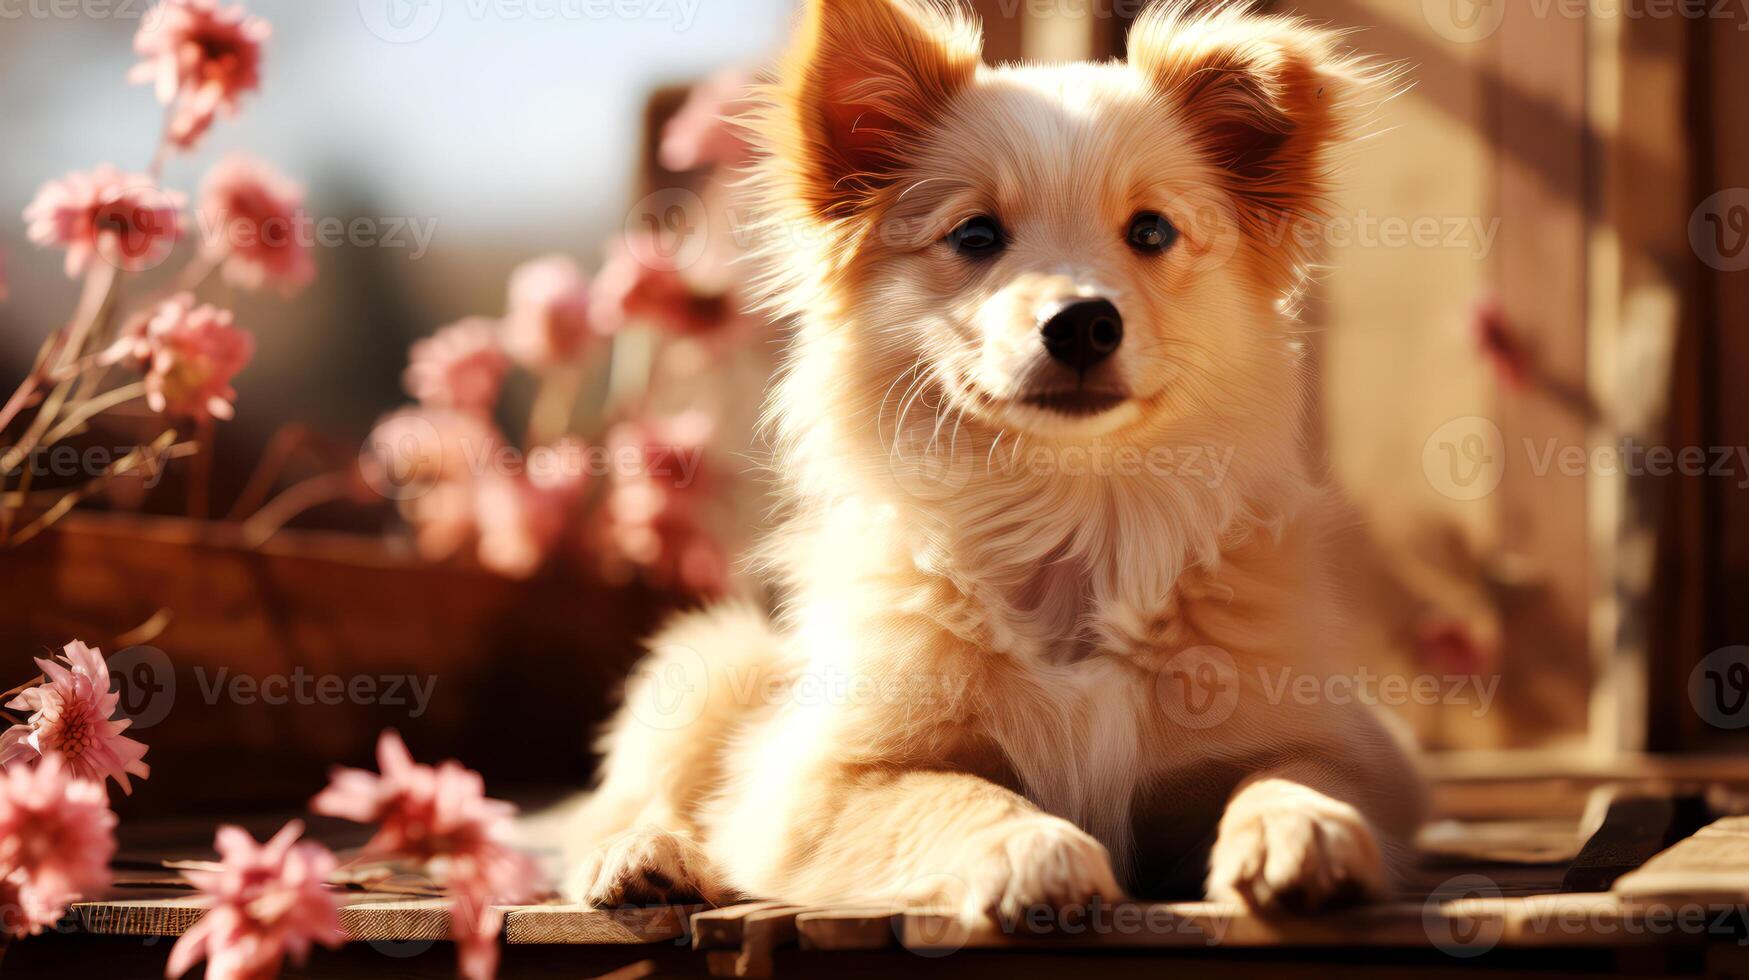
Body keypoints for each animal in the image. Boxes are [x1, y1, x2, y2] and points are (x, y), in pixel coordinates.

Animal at [566, 0, 1427, 917]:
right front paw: (1034, 848)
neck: (1067, 513)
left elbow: (1289, 772)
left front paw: (1299, 826)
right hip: (704, 667)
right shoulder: (813, 783)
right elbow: (956, 793)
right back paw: (641, 858)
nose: (1083, 321)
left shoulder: (1345, 747)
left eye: (1151, 231)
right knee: (623, 805)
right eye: (975, 235)